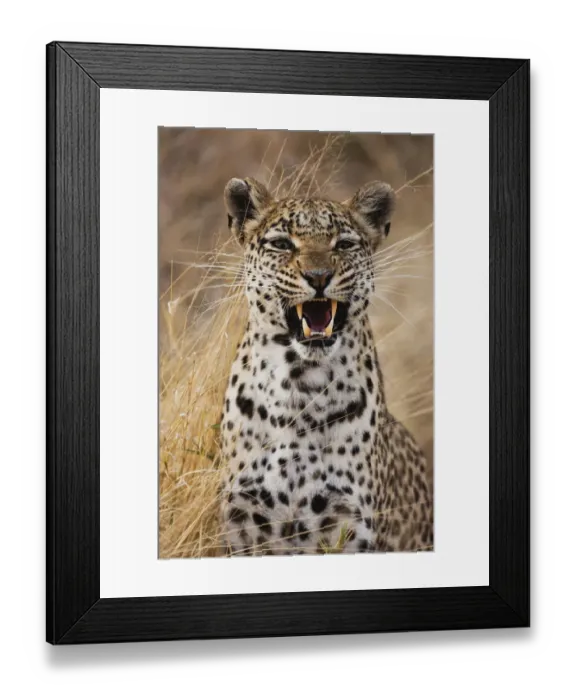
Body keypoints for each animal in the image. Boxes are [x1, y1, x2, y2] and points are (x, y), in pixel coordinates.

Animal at [219, 176, 433, 556]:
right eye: (282, 244)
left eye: (344, 244)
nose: (319, 276)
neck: (299, 385)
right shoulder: (242, 522)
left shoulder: (348, 527)